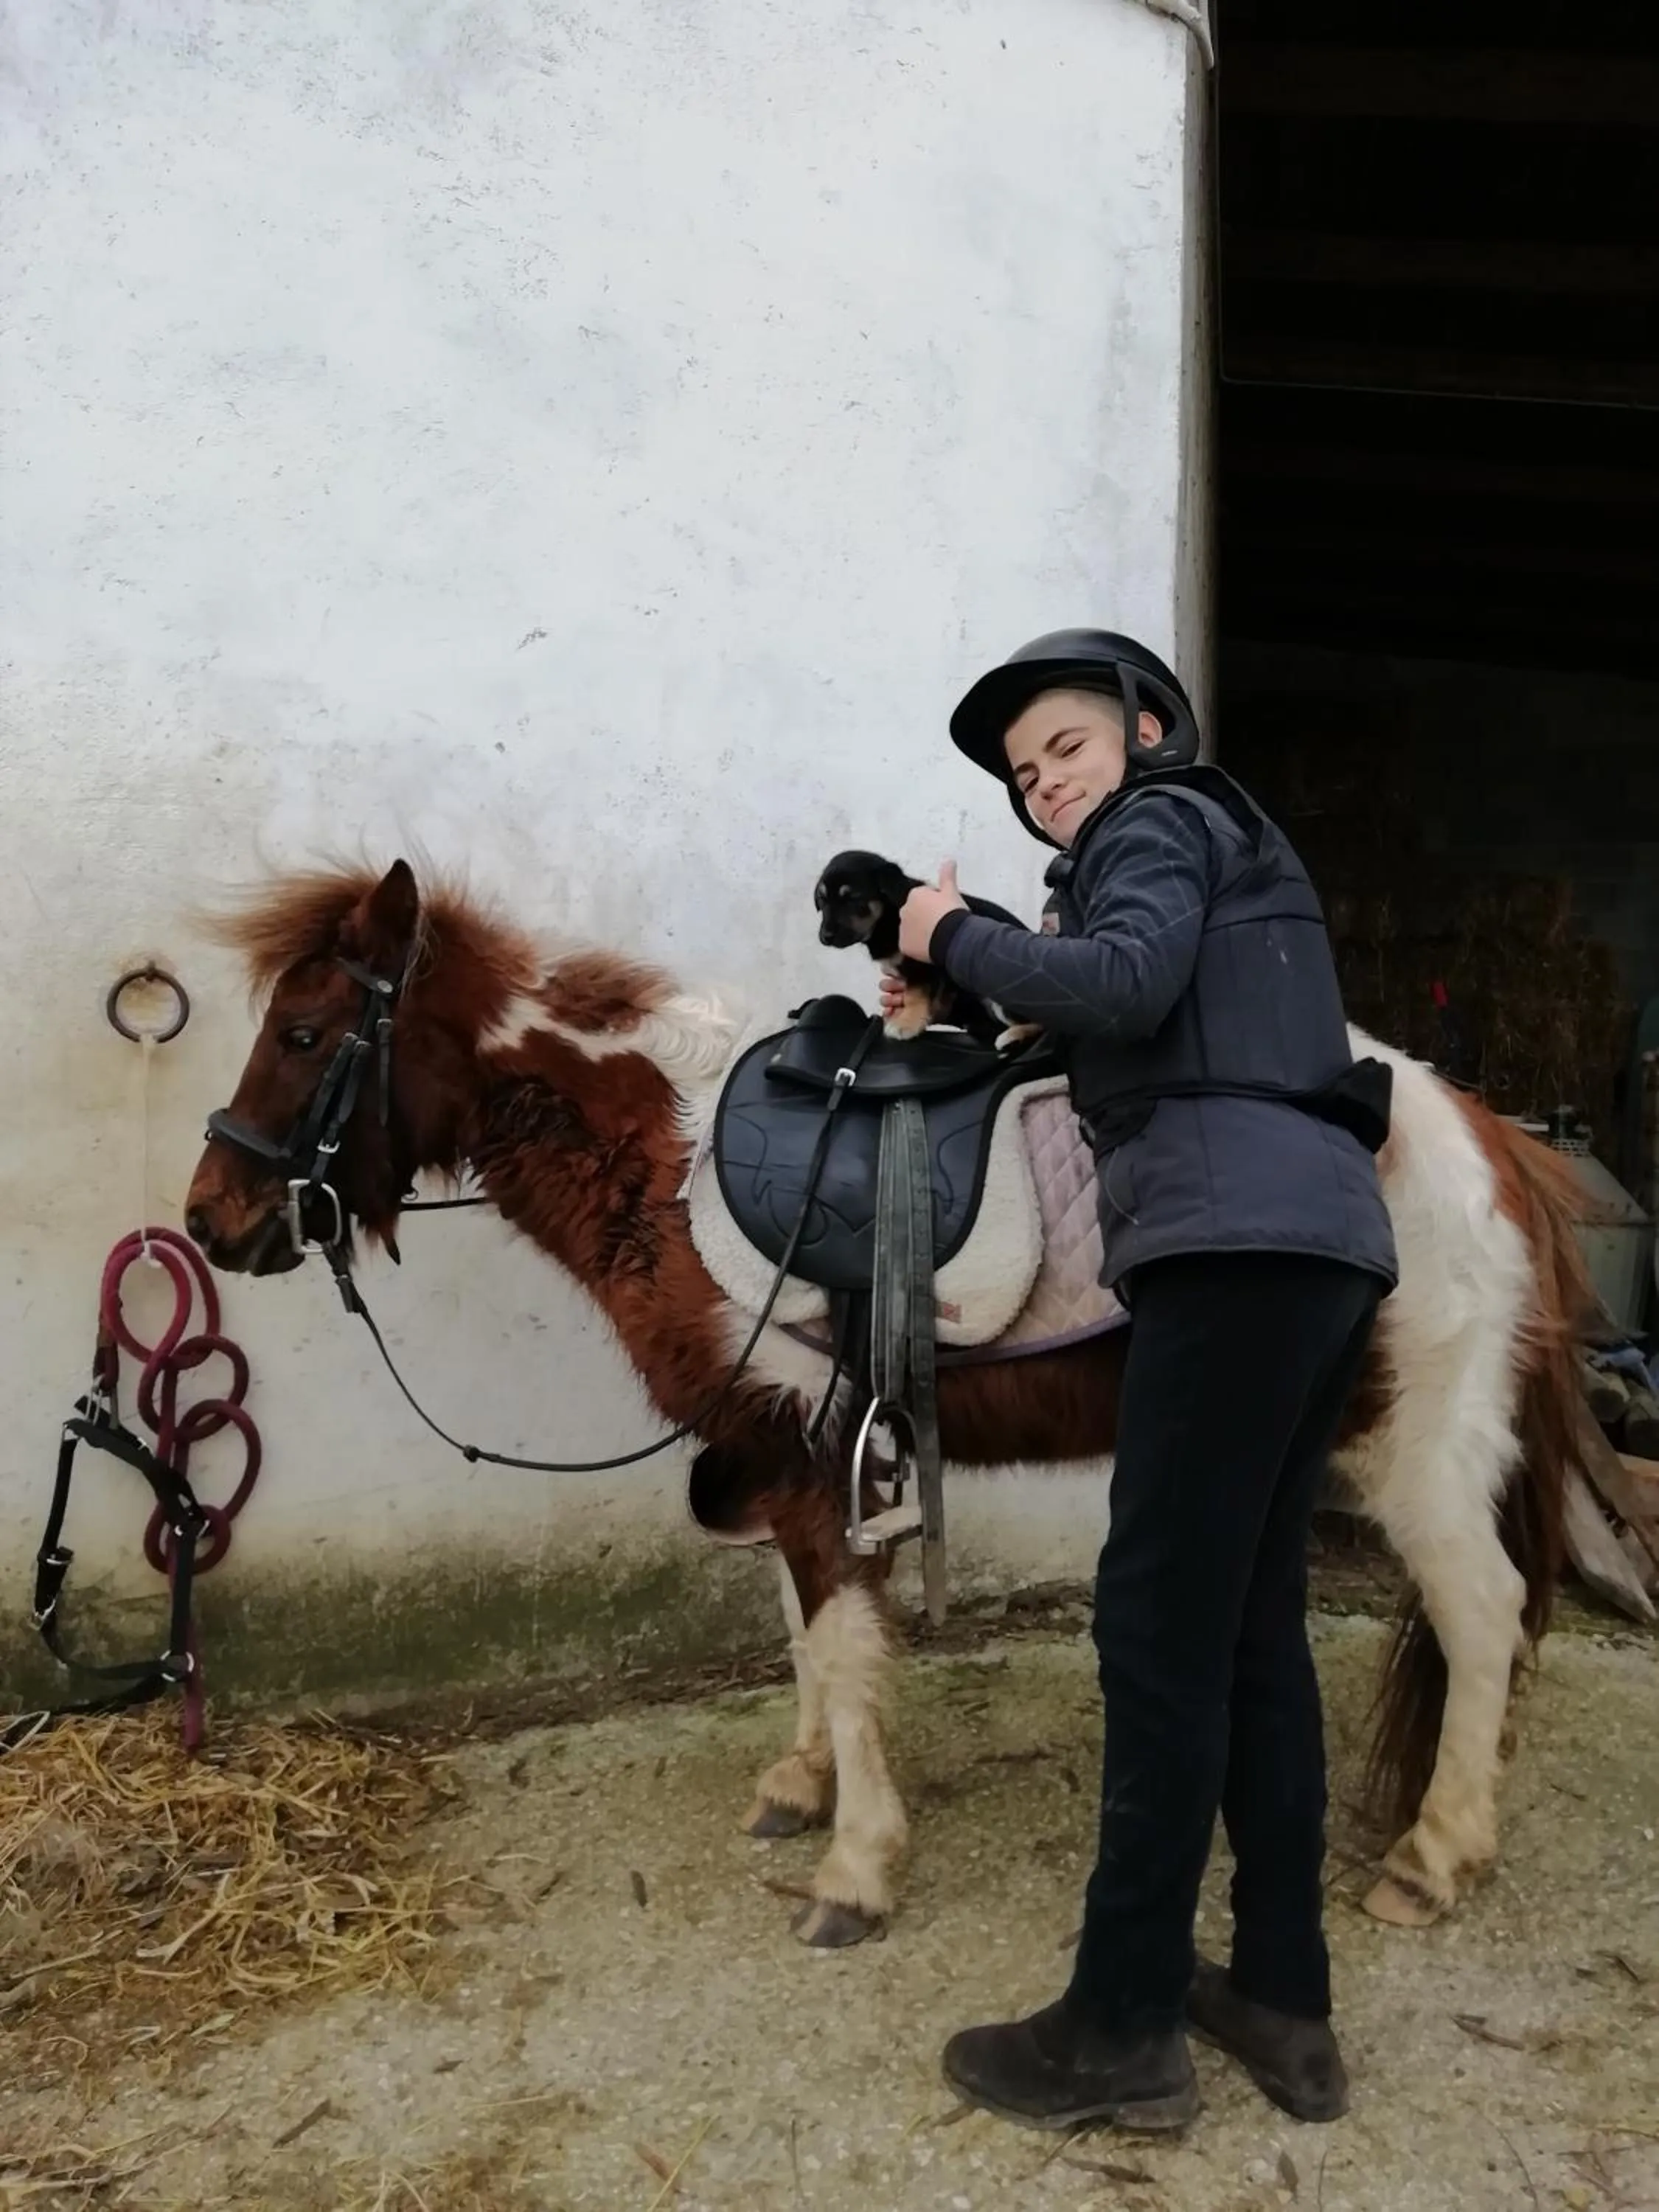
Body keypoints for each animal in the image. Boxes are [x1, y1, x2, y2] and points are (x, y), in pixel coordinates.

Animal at [184, 858, 1592, 1949]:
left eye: (303, 1035)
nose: (211, 1219)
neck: (668, 1163)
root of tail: (1485, 1138)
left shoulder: (819, 1461)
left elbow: (847, 1647)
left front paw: (855, 1868)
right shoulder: (769, 1450)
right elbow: (805, 1638)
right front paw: (802, 1782)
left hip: (1419, 1449)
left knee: (1484, 1616)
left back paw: (1435, 1855)